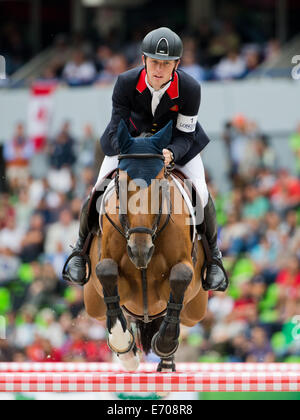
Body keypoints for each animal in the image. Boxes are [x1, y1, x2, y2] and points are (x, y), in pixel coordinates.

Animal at [83, 120, 207, 372]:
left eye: (160, 186)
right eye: (121, 185)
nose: (140, 251)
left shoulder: (183, 276)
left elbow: (179, 278)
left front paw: (165, 344)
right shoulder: (111, 277)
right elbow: (106, 273)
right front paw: (125, 349)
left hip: (196, 309)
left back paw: (167, 363)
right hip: (92, 302)